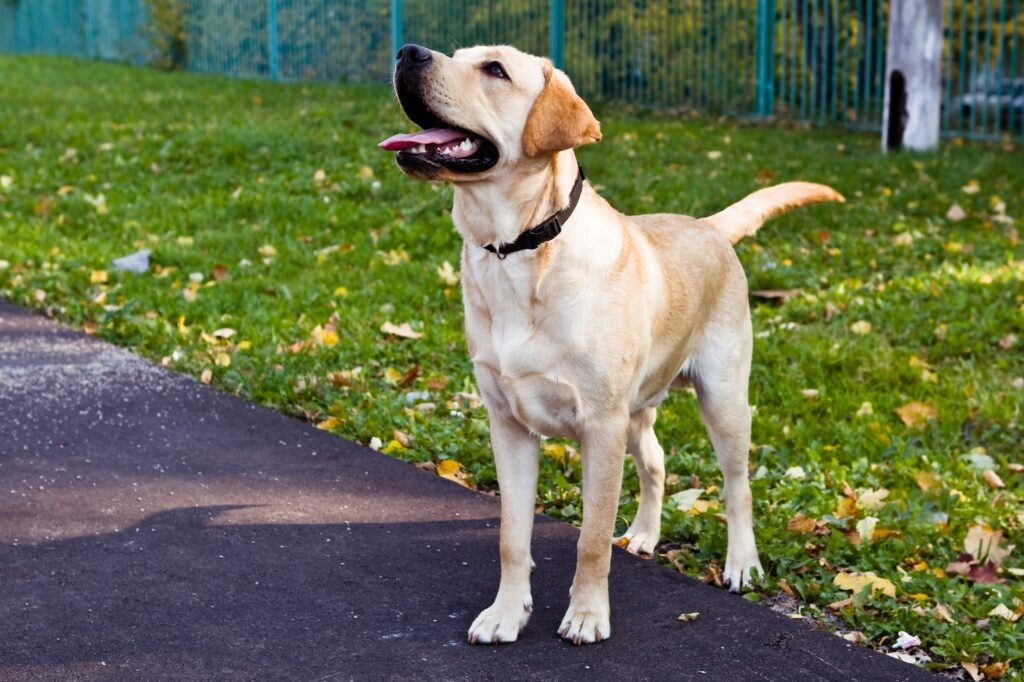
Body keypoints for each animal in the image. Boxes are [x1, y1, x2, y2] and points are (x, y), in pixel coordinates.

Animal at [380, 43, 843, 643]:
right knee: (656, 462)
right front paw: (507, 613)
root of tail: (710, 226)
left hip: (721, 400)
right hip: (637, 411)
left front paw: (585, 614)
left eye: (495, 70)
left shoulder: (600, 427)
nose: (408, 52)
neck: (519, 251)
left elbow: (591, 537)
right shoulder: (508, 424)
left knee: (737, 485)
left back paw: (743, 563)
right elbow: (511, 536)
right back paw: (645, 532)